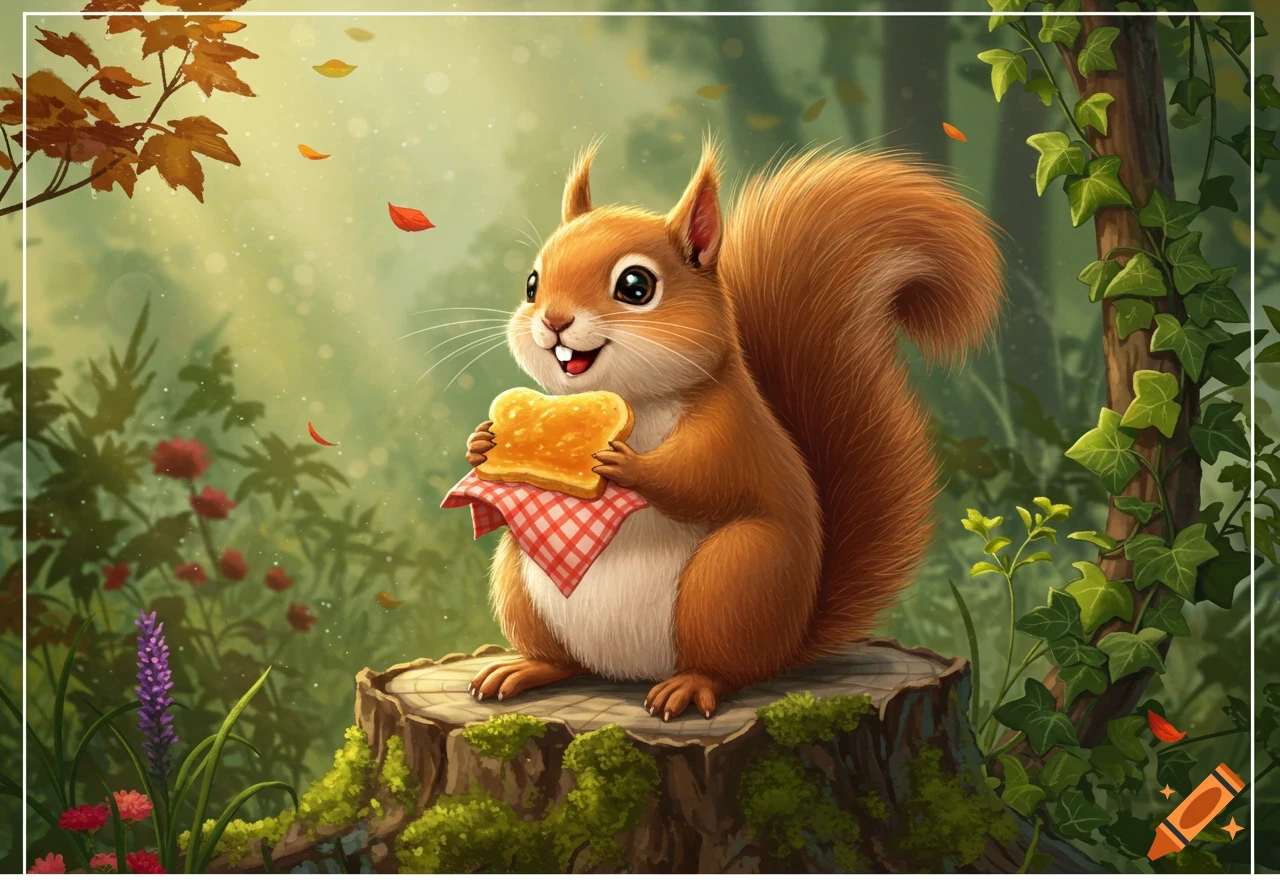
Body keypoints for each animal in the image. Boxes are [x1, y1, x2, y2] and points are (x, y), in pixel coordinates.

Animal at [464, 140, 1003, 721]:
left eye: (635, 286)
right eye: (532, 284)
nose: (554, 321)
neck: (634, 400)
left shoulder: (732, 430)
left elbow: (702, 478)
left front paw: (626, 465)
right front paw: (481, 442)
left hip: (732, 579)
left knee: (728, 669)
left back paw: (688, 686)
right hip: (520, 583)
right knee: (564, 658)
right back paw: (524, 668)